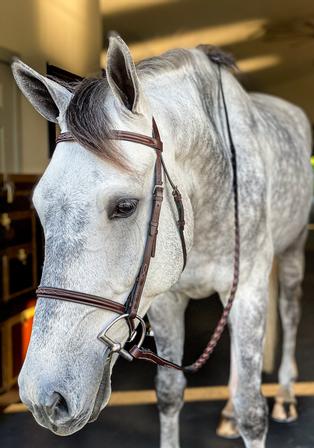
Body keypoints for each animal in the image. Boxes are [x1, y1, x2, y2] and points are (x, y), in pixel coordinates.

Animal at [11, 32, 312, 448]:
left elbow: (254, 413)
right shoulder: (168, 299)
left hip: (293, 251)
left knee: (290, 313)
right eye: (39, 204)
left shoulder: (249, 289)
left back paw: (283, 396)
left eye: (124, 206)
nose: (44, 397)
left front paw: (252, 410)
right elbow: (169, 393)